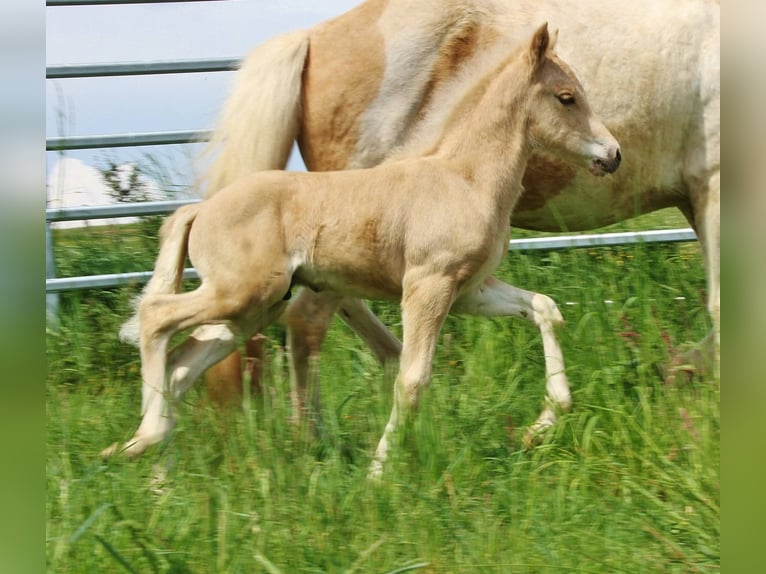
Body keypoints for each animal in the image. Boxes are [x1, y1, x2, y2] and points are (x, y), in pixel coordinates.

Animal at [103, 24, 621, 477]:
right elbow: (411, 378)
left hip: (249, 311)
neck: (464, 179)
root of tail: (199, 210)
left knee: (180, 368)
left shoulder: (470, 289)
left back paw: (157, 473)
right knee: (156, 316)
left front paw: (545, 421)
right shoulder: (428, 286)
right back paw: (146, 442)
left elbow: (544, 308)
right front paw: (378, 472)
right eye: (567, 97)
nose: (613, 155)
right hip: (240, 293)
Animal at [194, 0, 720, 414]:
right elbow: (720, 304)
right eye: (567, 97)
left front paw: (680, 371)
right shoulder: (712, 186)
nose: (613, 155)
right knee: (307, 321)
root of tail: (310, 36)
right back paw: (316, 443)